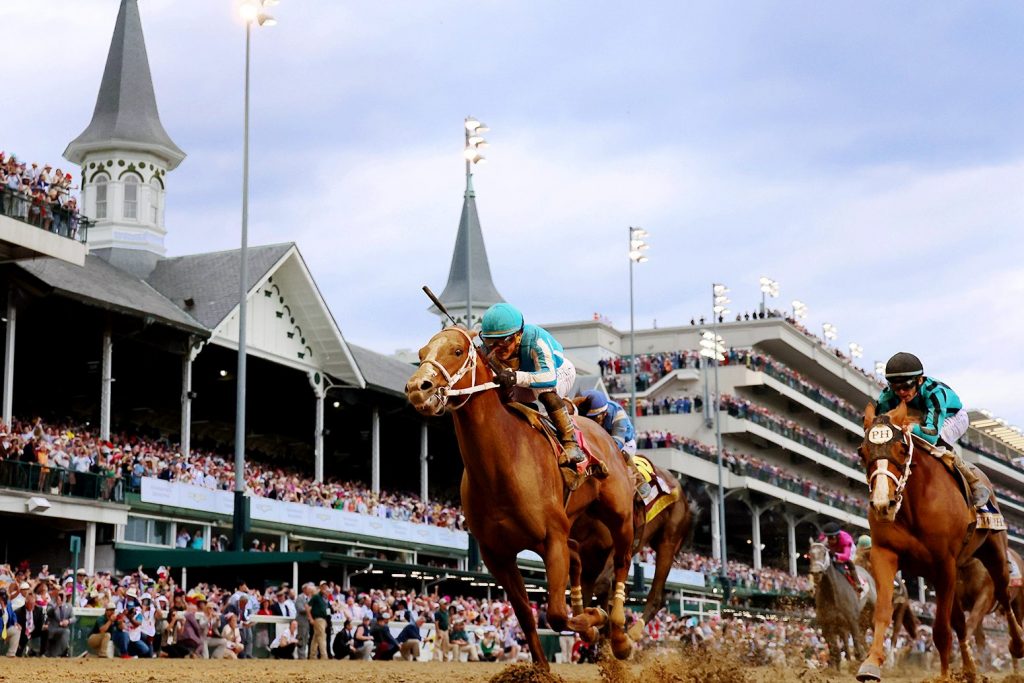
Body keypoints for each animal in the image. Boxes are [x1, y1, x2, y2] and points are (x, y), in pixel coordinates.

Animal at [403, 327, 634, 671]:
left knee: (621, 560)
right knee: (578, 556)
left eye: (457, 351)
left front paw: (595, 621)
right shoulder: (497, 554)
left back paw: (618, 635)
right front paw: (546, 665)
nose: (419, 388)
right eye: (420, 354)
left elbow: (555, 613)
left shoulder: (551, 539)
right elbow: (526, 614)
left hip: (618, 515)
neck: (502, 464)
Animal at [573, 464, 692, 630]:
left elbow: (603, 585)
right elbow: (590, 595)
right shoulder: (587, 558)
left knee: (656, 597)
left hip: (668, 542)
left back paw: (631, 633)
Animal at [806, 540, 872, 671]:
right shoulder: (827, 624)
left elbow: (856, 641)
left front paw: (861, 656)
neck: (832, 594)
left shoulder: (852, 619)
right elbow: (834, 650)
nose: (816, 572)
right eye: (810, 554)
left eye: (824, 552)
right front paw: (835, 668)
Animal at [856, 403, 1024, 679]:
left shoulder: (944, 563)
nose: (882, 504)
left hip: (995, 555)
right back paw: (969, 669)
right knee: (962, 624)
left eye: (902, 448)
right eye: (862, 451)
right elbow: (883, 612)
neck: (912, 505)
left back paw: (1017, 645)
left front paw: (944, 676)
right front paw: (871, 663)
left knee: (1003, 596)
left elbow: (942, 630)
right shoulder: (886, 553)